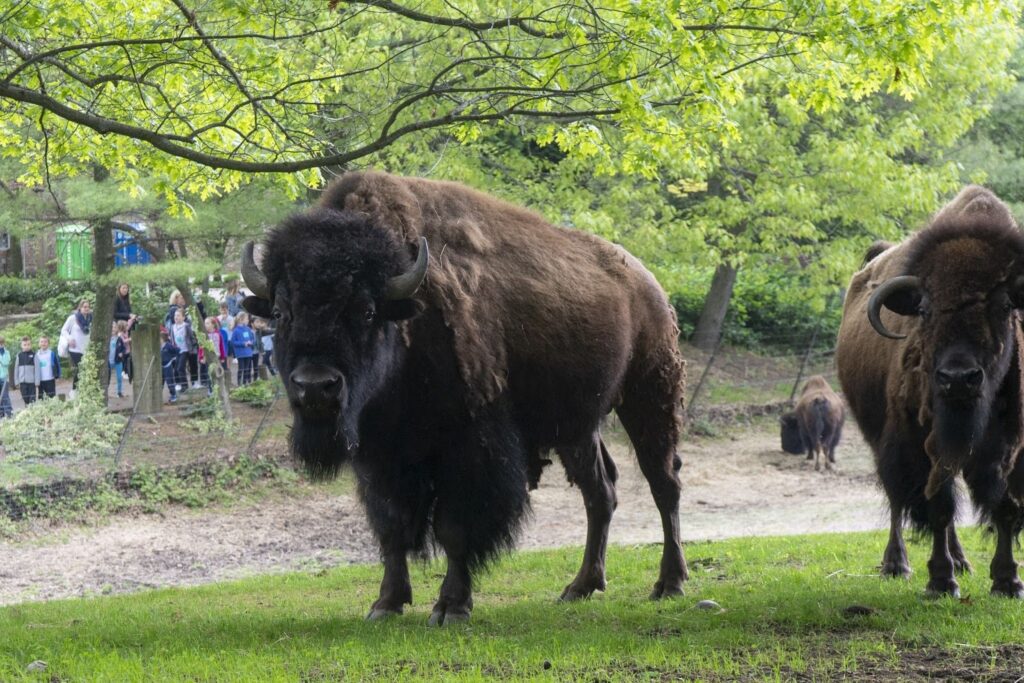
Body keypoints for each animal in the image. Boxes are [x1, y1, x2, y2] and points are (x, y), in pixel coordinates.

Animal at [241, 171, 688, 624]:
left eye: (366, 311)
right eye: (279, 313)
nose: (315, 386)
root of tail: (649, 283)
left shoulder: (469, 448)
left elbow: (454, 528)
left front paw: (451, 607)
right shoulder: (380, 455)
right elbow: (392, 526)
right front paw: (386, 603)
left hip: (649, 394)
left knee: (663, 483)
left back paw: (670, 583)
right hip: (576, 427)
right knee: (600, 493)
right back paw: (580, 587)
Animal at [836, 186, 1024, 598]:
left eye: (1005, 305)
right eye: (923, 308)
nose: (958, 378)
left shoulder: (1010, 450)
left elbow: (1005, 508)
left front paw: (1008, 582)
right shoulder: (916, 442)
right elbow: (938, 508)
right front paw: (940, 582)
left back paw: (964, 561)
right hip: (882, 439)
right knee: (897, 502)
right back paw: (898, 565)